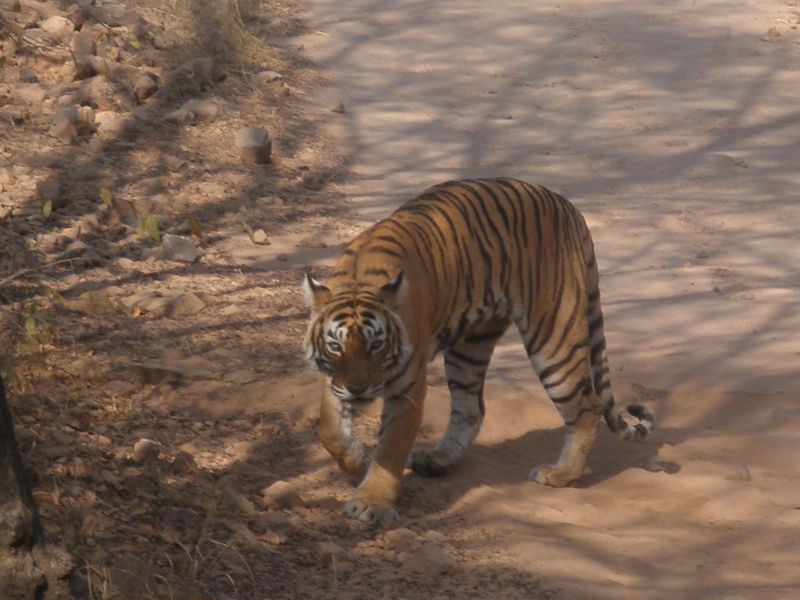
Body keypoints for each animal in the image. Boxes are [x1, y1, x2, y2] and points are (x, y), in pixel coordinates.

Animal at [304, 177, 652, 524]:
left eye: (376, 345)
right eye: (335, 346)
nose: (358, 389)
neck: (358, 281)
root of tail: (568, 207)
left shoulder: (407, 389)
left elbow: (391, 449)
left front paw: (371, 503)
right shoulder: (334, 380)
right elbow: (328, 429)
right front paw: (357, 460)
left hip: (554, 339)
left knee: (588, 406)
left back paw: (562, 474)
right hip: (470, 346)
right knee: (472, 408)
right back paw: (437, 459)